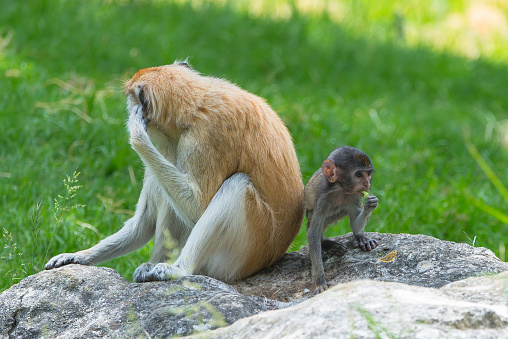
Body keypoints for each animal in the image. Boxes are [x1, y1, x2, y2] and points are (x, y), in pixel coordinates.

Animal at [45, 61, 304, 284]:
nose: (128, 109)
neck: (194, 102)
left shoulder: (204, 138)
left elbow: (198, 208)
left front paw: (136, 134)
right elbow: (144, 223)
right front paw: (79, 256)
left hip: (244, 251)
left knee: (237, 186)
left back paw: (177, 269)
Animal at [304, 147, 380, 294]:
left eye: (368, 174)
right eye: (358, 175)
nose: (367, 184)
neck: (339, 188)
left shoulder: (353, 195)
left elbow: (354, 225)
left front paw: (370, 205)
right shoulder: (323, 200)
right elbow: (313, 233)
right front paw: (320, 281)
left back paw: (360, 237)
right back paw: (326, 243)